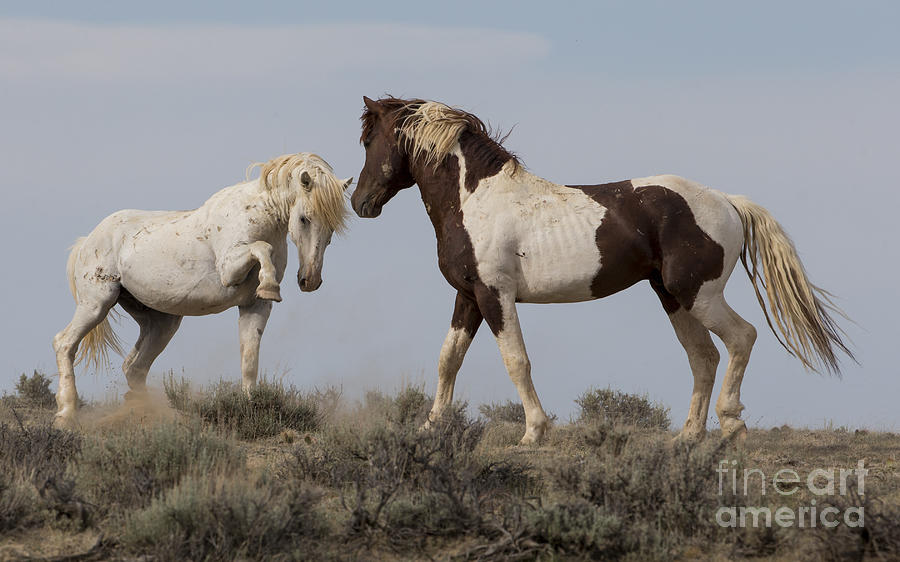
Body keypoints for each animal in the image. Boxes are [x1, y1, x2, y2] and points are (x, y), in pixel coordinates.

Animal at [53, 151, 352, 422]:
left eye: (332, 228)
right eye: (304, 219)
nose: (310, 280)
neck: (256, 216)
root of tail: (88, 240)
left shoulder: (254, 305)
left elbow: (249, 358)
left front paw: (250, 407)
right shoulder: (229, 269)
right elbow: (261, 248)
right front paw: (270, 285)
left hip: (161, 323)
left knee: (134, 367)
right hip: (96, 304)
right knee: (65, 344)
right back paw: (66, 413)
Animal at [352, 98, 852, 444]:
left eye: (369, 141)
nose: (360, 202)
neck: (476, 200)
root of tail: (727, 201)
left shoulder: (496, 295)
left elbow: (516, 360)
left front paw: (533, 432)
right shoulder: (469, 296)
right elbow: (448, 358)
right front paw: (430, 427)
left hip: (699, 294)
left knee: (741, 338)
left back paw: (731, 425)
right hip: (672, 297)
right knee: (703, 356)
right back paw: (689, 435)